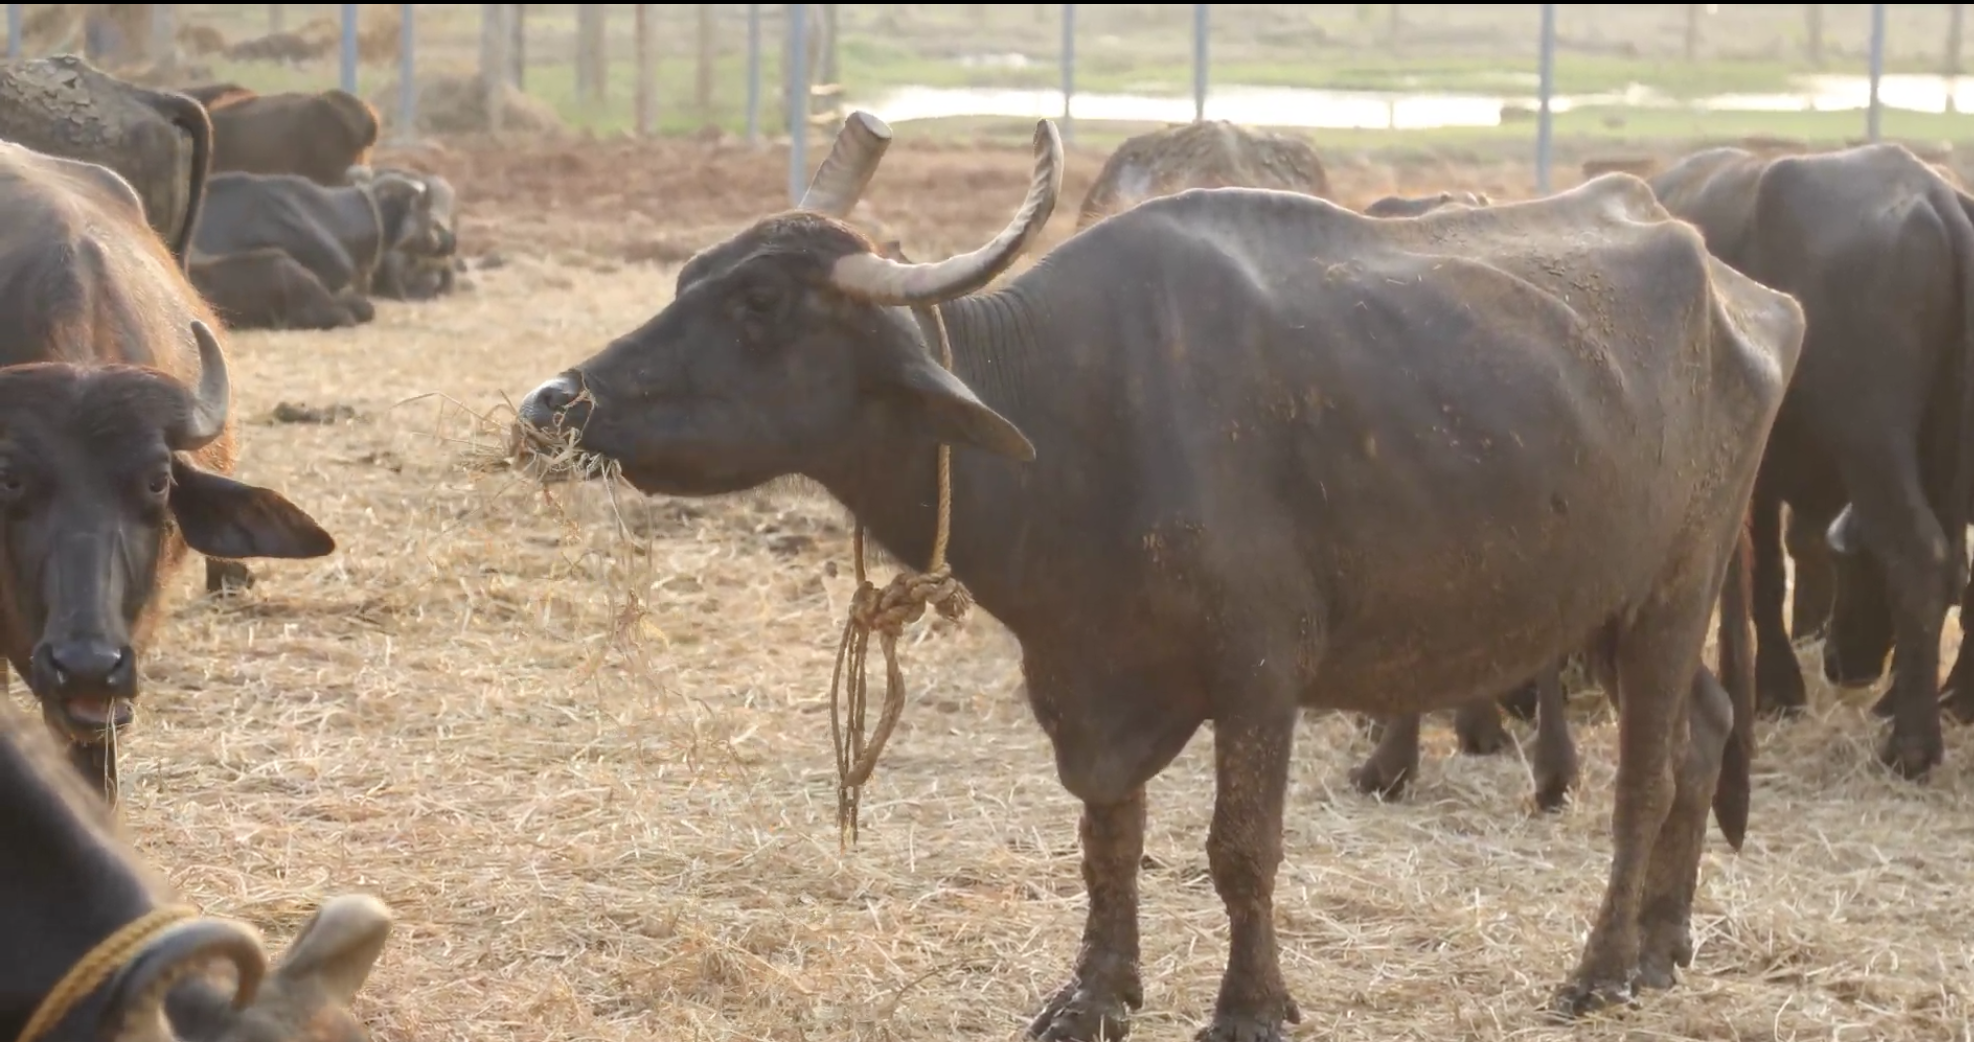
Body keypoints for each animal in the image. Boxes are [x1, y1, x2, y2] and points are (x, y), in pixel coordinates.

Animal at [516, 112, 1798, 1037]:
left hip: (1673, 587)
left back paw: (1603, 966)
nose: (550, 401)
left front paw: (1250, 1006)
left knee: (1645, 775)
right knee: (1703, 736)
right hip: (1609, 603)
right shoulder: (1081, 676)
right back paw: (1665, 943)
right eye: (690, 273)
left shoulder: (1259, 671)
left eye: (760, 301)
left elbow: (1239, 848)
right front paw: (1096, 989)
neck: (1072, 418)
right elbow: (1108, 837)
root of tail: (1751, 297)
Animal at [1649, 142, 1974, 778]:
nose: (1843, 665)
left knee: (1918, 556)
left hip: (1874, 441)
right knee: (1953, 567)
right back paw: (1937, 702)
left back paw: (1911, 745)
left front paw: (1774, 687)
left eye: (1851, 567)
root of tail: (1939, 201)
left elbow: (1761, 576)